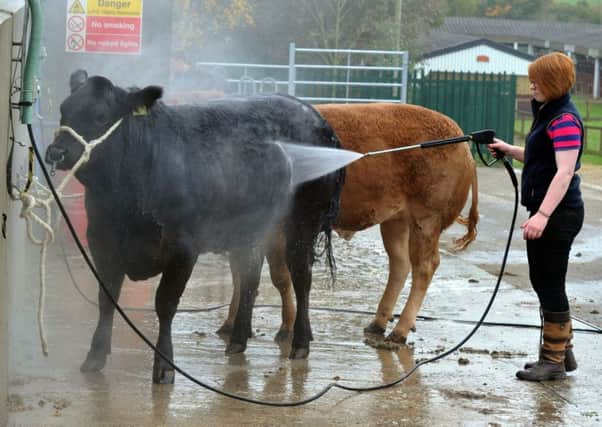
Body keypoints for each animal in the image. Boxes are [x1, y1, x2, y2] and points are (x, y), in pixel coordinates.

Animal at [46, 70, 342, 384]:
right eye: (64, 109)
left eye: (100, 116)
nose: (56, 151)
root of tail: (317, 118)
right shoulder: (102, 241)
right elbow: (106, 298)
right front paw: (95, 356)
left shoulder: (183, 249)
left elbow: (165, 303)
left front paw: (164, 365)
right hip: (251, 231)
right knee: (250, 279)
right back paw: (238, 339)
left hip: (302, 225)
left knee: (301, 278)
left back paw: (300, 342)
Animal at [218, 103, 476, 352]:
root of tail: (461, 140)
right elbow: (240, 275)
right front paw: (230, 324)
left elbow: (278, 277)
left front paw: (286, 328)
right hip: (396, 221)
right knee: (400, 264)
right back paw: (377, 323)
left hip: (427, 218)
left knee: (424, 266)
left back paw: (399, 331)